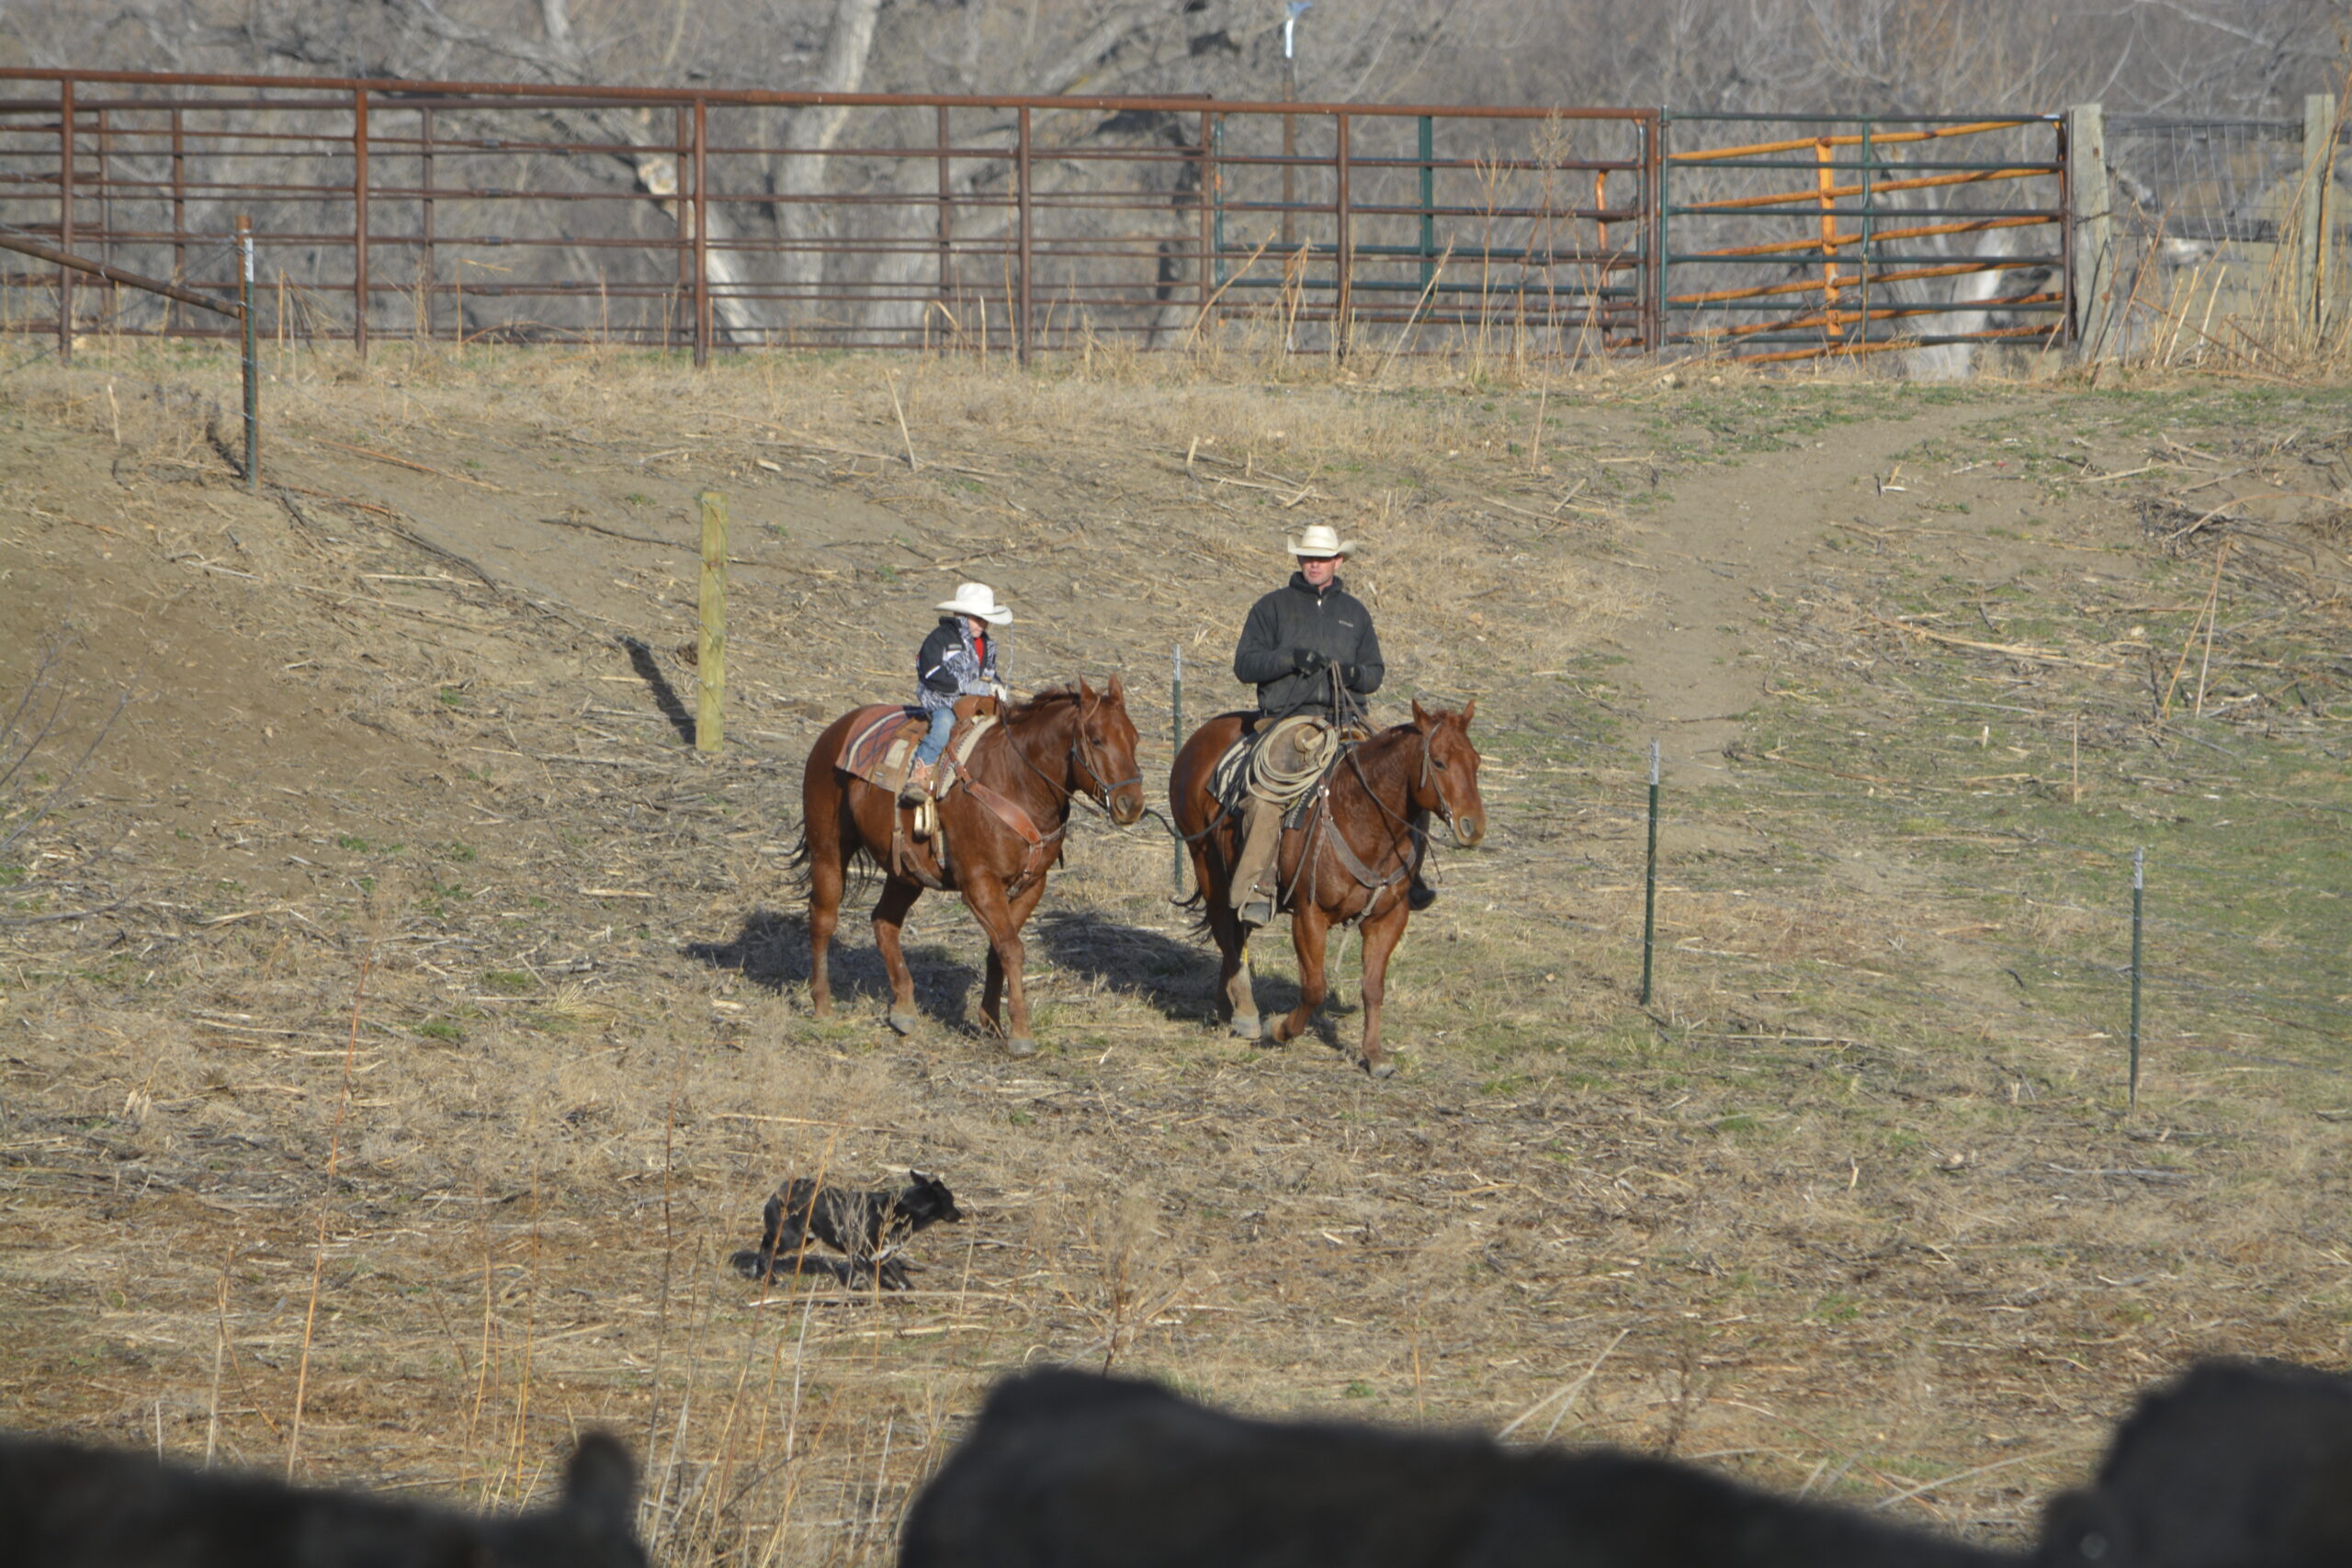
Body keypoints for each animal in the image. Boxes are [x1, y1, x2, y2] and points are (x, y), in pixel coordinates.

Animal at [795, 680, 1145, 1057]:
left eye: (1134, 738)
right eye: (1096, 739)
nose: (1131, 804)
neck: (1016, 780)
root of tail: (835, 730)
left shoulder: (1031, 885)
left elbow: (998, 950)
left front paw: (991, 1021)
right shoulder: (979, 884)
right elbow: (1012, 949)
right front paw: (1021, 1032)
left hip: (906, 872)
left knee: (884, 922)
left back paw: (903, 1009)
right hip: (829, 850)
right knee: (823, 918)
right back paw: (823, 1004)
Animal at [1169, 700, 1485, 1077]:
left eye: (1476, 761)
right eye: (1438, 762)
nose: (1473, 827)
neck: (1360, 818)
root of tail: (1199, 739)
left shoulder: (1388, 918)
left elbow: (1373, 988)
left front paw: (1375, 1055)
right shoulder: (1309, 915)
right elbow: (1315, 988)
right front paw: (1280, 1029)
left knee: (1237, 930)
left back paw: (1226, 1005)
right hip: (1207, 864)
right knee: (1224, 929)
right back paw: (1245, 1012)